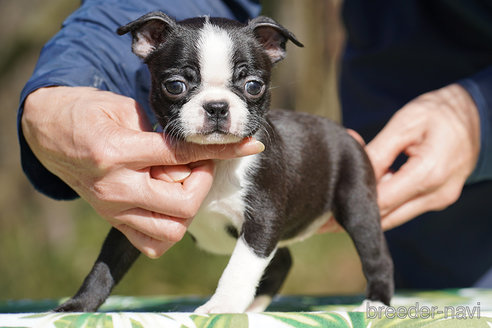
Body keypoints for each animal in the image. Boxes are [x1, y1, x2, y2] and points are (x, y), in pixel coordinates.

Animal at [54, 11, 392, 314]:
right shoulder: (137, 215)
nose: (216, 106)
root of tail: (342, 132)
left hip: (357, 202)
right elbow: (106, 263)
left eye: (253, 86)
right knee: (282, 262)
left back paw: (375, 303)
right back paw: (254, 306)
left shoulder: (262, 219)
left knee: (376, 255)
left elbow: (239, 268)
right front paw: (77, 306)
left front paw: (222, 306)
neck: (216, 157)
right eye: (175, 85)